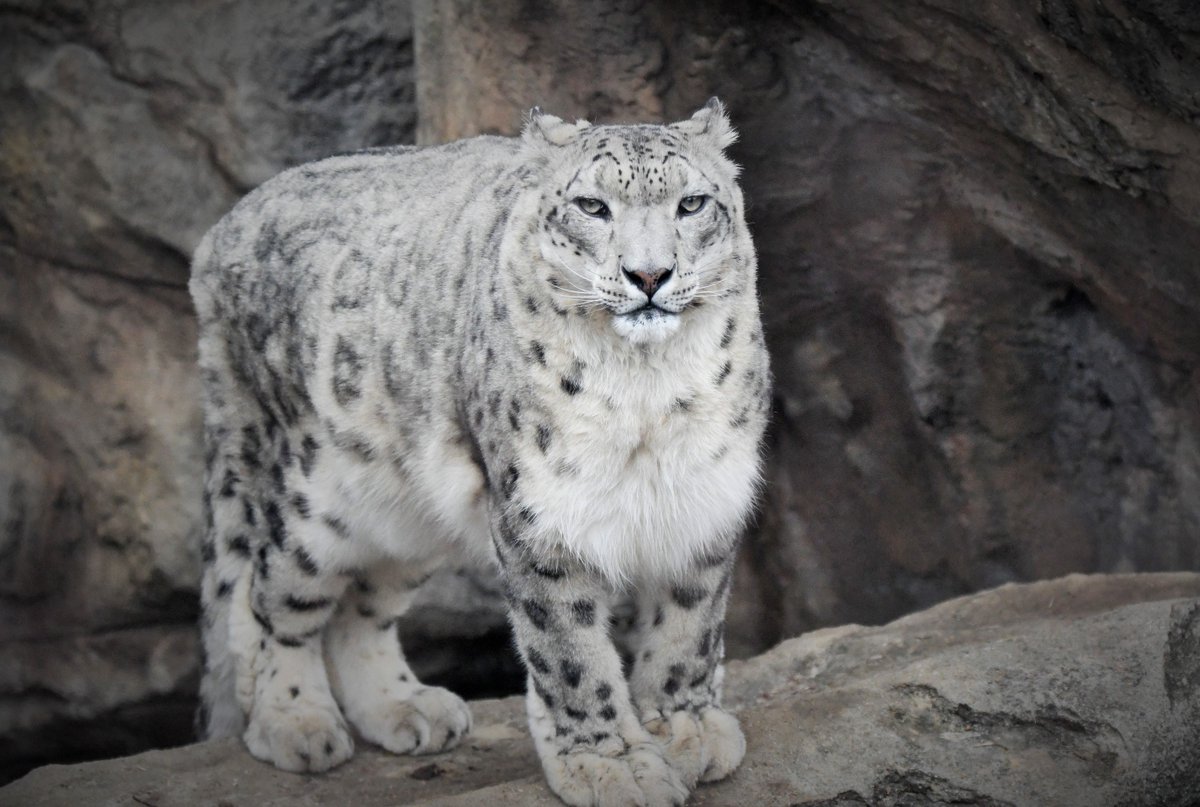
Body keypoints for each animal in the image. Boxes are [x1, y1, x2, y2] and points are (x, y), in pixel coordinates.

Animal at [189, 98, 770, 806]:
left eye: (691, 204)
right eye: (592, 205)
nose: (650, 275)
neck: (649, 392)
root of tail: (221, 231)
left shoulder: (705, 493)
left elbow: (690, 622)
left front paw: (686, 728)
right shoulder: (543, 511)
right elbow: (570, 650)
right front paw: (610, 765)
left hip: (404, 514)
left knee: (361, 604)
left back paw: (406, 709)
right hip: (311, 498)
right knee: (268, 593)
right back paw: (294, 721)